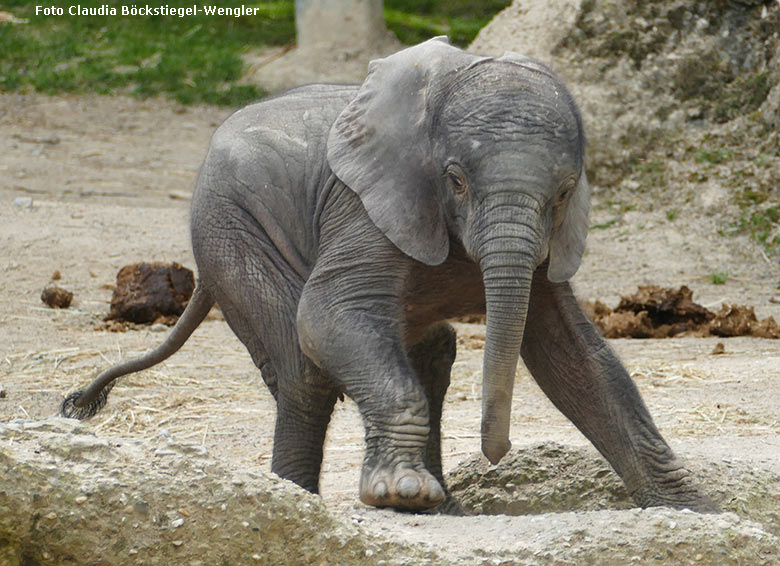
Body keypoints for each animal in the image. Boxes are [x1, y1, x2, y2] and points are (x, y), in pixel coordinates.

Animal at [62, 35, 720, 516]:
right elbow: (329, 316)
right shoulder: (365, 202)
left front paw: (697, 508)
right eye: (455, 179)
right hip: (232, 229)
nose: (496, 453)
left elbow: (577, 358)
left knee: (431, 353)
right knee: (304, 366)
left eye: (563, 194)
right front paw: (399, 494)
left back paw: (440, 508)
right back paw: (302, 502)